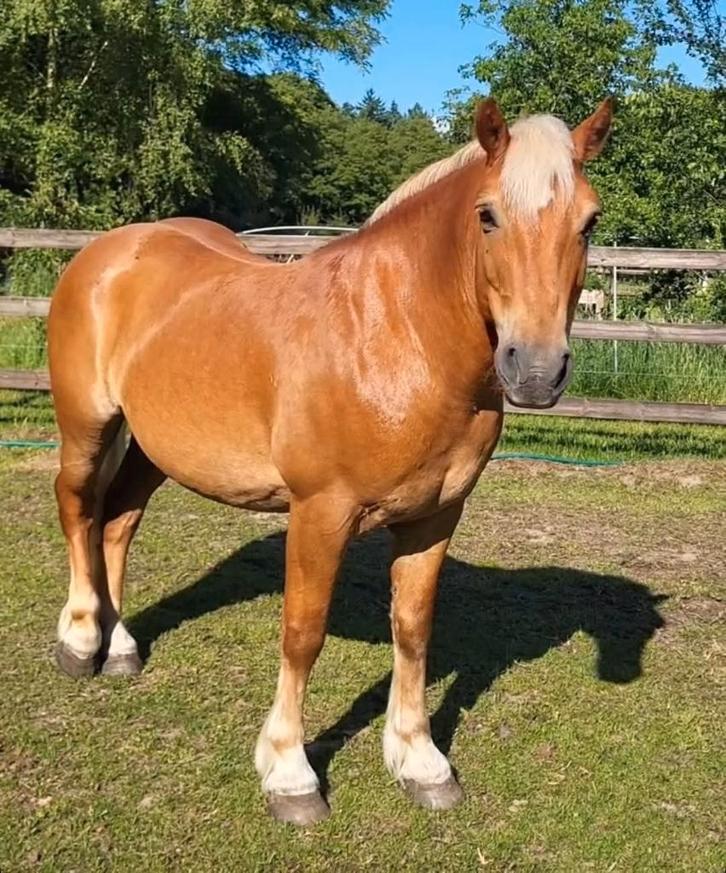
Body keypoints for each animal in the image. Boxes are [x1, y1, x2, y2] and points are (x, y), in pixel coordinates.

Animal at [48, 97, 612, 825]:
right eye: (488, 215)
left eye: (589, 220)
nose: (537, 371)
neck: (396, 337)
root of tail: (109, 250)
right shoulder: (321, 513)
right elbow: (302, 632)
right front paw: (289, 773)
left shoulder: (434, 517)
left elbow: (414, 629)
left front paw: (419, 761)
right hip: (87, 425)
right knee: (78, 509)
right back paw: (79, 640)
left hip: (154, 446)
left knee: (118, 520)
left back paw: (119, 648)